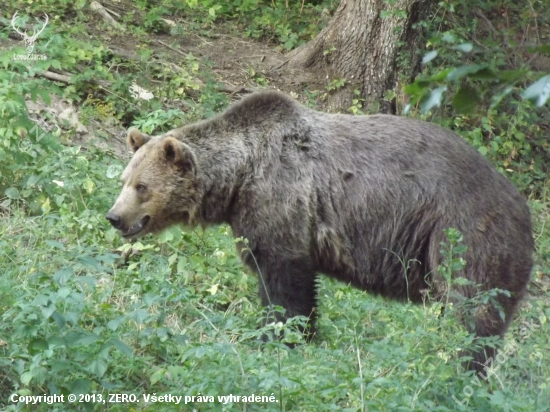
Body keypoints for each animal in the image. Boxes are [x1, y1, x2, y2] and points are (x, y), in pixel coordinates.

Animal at [106, 90, 536, 370]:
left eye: (142, 186)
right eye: (124, 179)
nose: (114, 217)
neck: (239, 175)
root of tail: (523, 205)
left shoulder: (283, 200)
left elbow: (284, 285)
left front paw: (276, 339)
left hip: (462, 231)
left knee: (474, 306)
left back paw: (458, 367)